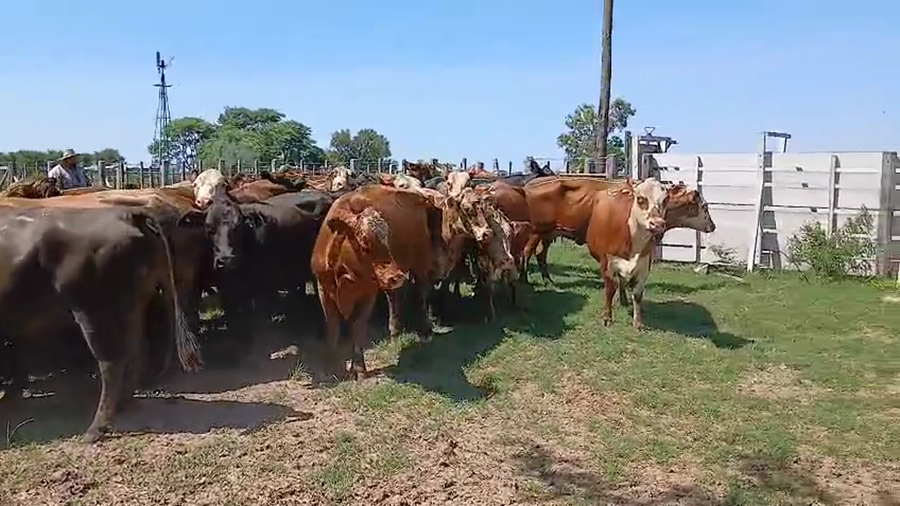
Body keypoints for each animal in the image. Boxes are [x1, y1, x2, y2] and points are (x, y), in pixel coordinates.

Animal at [0, 206, 203, 443]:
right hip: (131, 308)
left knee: (111, 363)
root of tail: (125, 214)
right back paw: (123, 405)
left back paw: (95, 430)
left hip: (94, 312)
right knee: (134, 353)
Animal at [311, 185, 440, 378]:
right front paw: (330, 367)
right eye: (364, 243)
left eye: (388, 240)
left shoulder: (368, 292)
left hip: (421, 260)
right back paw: (394, 331)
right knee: (394, 297)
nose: (397, 276)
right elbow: (332, 326)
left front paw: (359, 367)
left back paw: (425, 331)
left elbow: (358, 325)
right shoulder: (323, 290)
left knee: (420, 292)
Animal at [585, 178, 669, 329]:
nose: (658, 224)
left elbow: (637, 294)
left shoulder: (644, 266)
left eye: (665, 200)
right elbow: (609, 291)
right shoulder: (607, 264)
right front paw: (607, 317)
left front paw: (638, 321)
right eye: (640, 198)